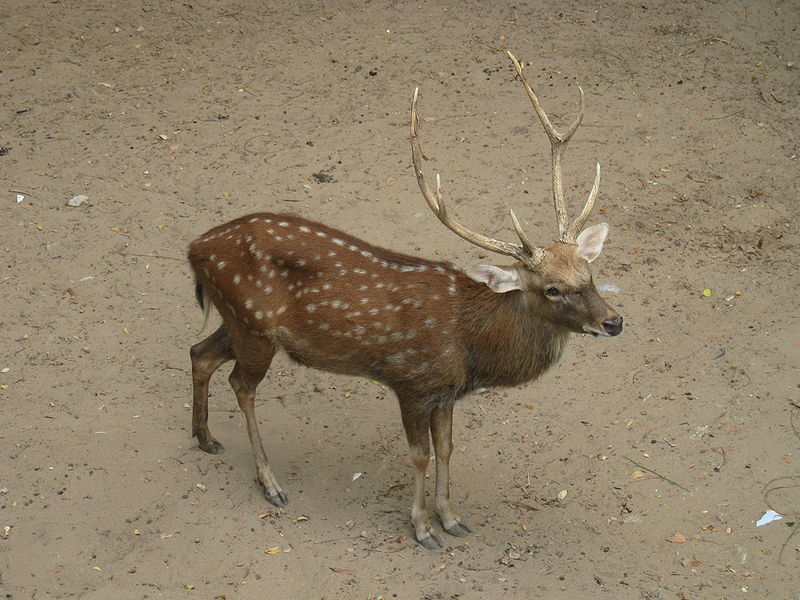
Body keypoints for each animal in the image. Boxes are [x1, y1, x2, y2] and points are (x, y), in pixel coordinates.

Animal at [189, 51, 624, 548]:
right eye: (551, 288)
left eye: (589, 273)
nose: (614, 321)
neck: (470, 346)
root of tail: (193, 249)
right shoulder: (411, 381)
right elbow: (419, 455)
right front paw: (422, 528)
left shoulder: (446, 392)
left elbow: (448, 448)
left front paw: (451, 517)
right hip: (252, 326)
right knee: (240, 384)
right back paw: (270, 483)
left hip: (237, 319)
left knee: (199, 352)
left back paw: (205, 438)